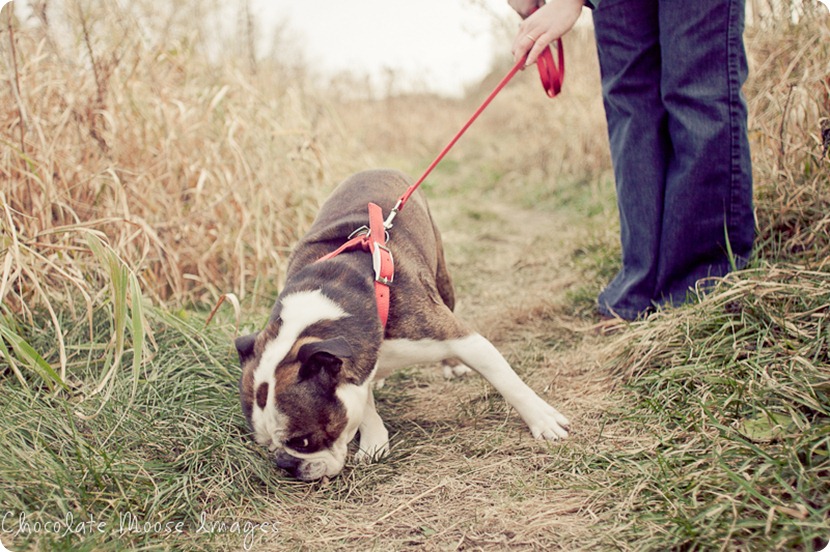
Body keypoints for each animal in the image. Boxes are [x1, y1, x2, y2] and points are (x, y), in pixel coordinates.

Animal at [237, 170, 568, 480]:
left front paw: (542, 419)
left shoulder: (460, 339)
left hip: (442, 280)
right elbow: (364, 407)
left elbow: (508, 382)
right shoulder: (356, 368)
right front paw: (373, 442)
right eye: (266, 444)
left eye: (303, 442)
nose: (285, 464)